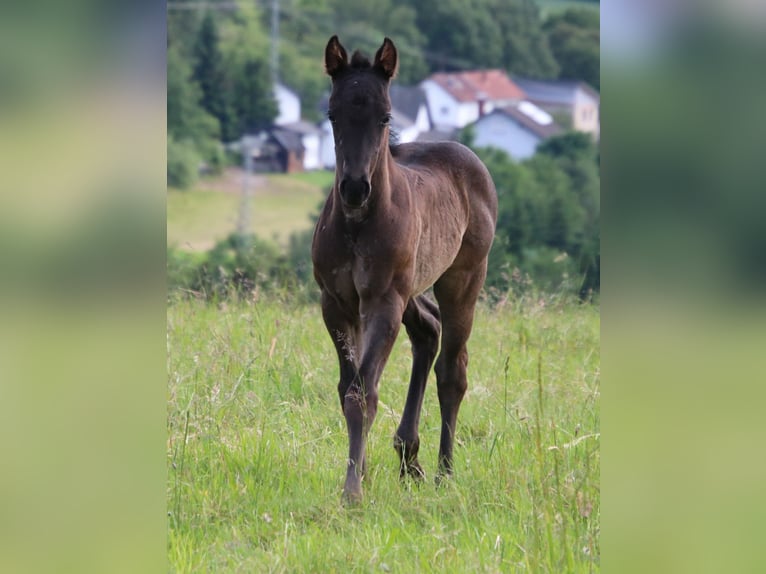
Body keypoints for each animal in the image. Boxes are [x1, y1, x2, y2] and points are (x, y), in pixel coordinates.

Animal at [312, 37, 498, 504]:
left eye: (385, 116)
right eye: (332, 113)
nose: (355, 188)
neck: (358, 225)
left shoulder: (382, 302)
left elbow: (363, 393)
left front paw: (352, 494)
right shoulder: (336, 303)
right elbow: (347, 387)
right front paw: (358, 475)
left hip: (462, 279)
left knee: (452, 371)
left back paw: (444, 472)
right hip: (411, 287)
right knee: (428, 330)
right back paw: (408, 456)